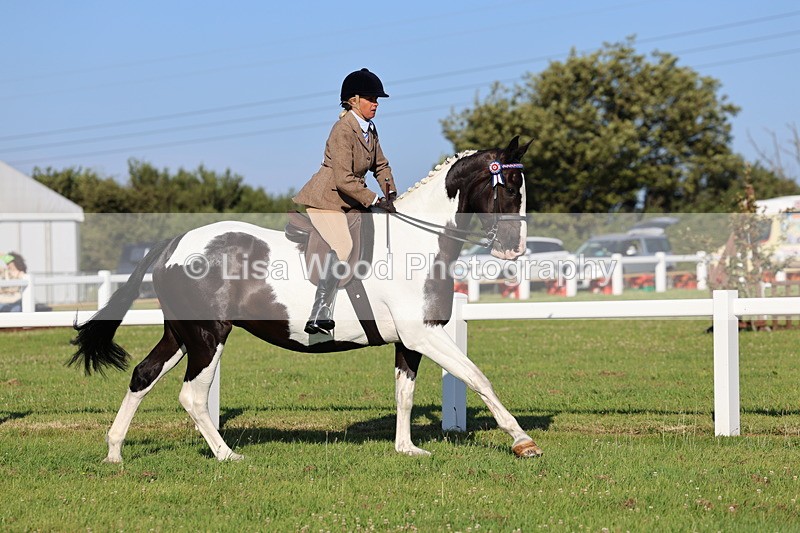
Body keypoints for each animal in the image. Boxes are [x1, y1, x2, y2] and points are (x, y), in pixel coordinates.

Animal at [70, 136, 544, 463]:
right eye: (509, 188)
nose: (515, 251)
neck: (418, 240)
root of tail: (173, 243)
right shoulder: (423, 334)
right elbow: (478, 378)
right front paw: (522, 441)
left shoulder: (411, 339)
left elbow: (404, 394)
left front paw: (406, 449)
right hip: (208, 335)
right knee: (192, 395)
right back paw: (227, 455)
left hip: (181, 334)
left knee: (143, 375)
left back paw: (114, 452)